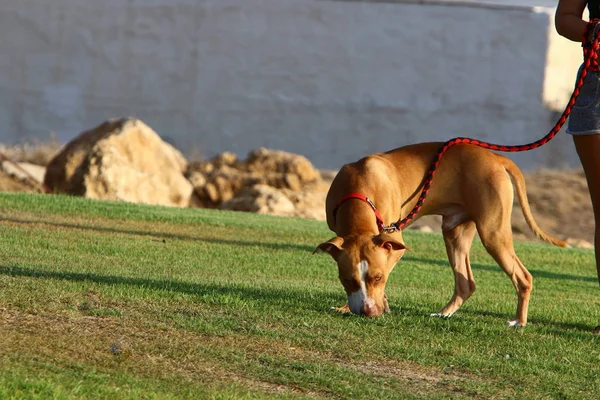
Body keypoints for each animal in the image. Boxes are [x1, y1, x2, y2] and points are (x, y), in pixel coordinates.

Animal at [316, 142, 568, 326]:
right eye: (346, 279)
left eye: (377, 277)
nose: (368, 312)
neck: (359, 190)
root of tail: (495, 157)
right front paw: (353, 306)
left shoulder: (394, 244)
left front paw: (376, 304)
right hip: (455, 233)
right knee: (466, 283)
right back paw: (444, 314)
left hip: (492, 233)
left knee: (523, 276)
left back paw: (519, 321)